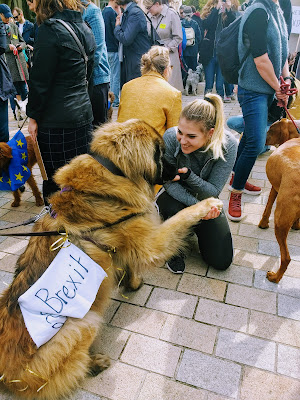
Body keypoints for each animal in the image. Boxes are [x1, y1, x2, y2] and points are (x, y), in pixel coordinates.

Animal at [0, 119, 220, 400]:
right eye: (160, 152)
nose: (180, 168)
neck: (112, 177)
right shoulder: (149, 241)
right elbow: (180, 219)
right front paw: (207, 205)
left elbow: (128, 265)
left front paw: (132, 283)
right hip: (85, 322)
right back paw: (94, 364)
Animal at [258, 117, 300, 282]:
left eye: (270, 129)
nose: (262, 140)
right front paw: (296, 225)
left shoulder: (274, 187)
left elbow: (267, 207)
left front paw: (263, 224)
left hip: (280, 221)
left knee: (286, 257)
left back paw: (275, 277)